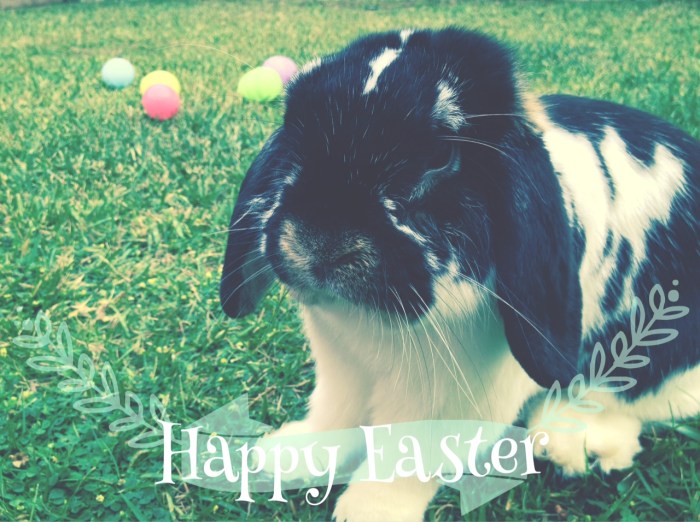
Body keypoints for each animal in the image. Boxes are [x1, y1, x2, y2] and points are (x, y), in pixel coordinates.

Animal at [220, 28, 700, 521]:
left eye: (440, 156)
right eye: (298, 131)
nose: (320, 240)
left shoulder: (449, 401)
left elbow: (404, 461)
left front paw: (368, 511)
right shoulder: (342, 373)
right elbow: (336, 418)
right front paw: (287, 459)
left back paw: (575, 443)